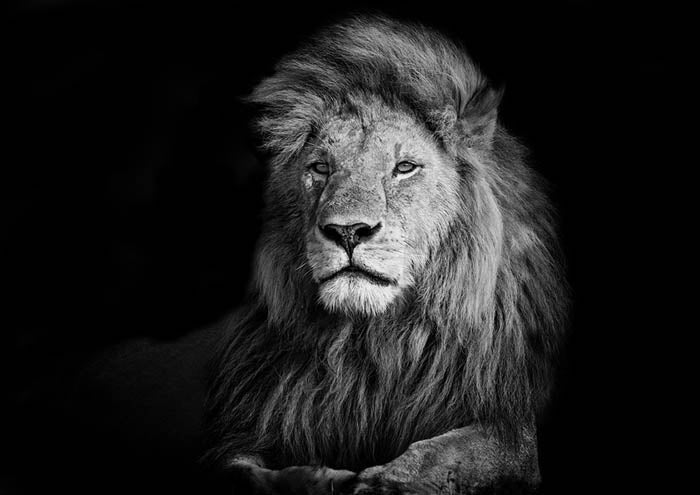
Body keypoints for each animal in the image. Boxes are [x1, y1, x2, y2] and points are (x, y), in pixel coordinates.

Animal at [204, 15, 567, 494]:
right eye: (320, 168)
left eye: (404, 168)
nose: (347, 231)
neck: (373, 343)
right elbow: (240, 472)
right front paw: (316, 479)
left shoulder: (510, 426)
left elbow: (451, 451)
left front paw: (385, 481)